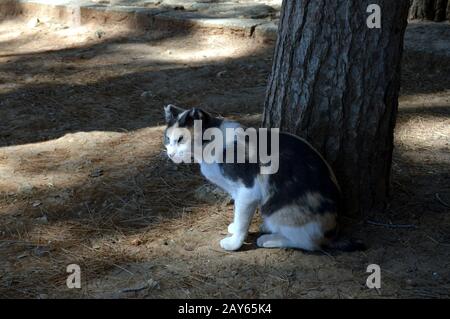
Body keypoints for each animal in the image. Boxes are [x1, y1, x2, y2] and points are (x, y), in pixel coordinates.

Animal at [163, 105, 364, 252]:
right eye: (167, 139)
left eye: (180, 139)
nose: (170, 154)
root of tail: (334, 230)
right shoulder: (237, 192)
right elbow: (238, 213)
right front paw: (234, 227)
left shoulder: (248, 191)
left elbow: (242, 219)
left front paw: (234, 243)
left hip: (279, 210)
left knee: (309, 243)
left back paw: (269, 239)